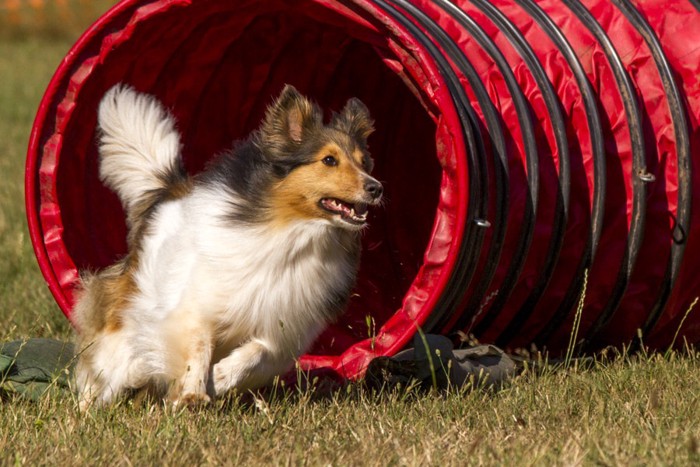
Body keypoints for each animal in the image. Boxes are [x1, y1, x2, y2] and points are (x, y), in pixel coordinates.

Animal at [74, 84, 382, 410]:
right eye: (329, 160)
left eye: (364, 162)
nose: (376, 187)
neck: (294, 232)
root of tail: (170, 190)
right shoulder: (196, 306)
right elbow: (199, 348)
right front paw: (193, 393)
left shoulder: (281, 328)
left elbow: (257, 351)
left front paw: (218, 379)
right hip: (123, 331)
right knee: (102, 371)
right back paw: (86, 408)